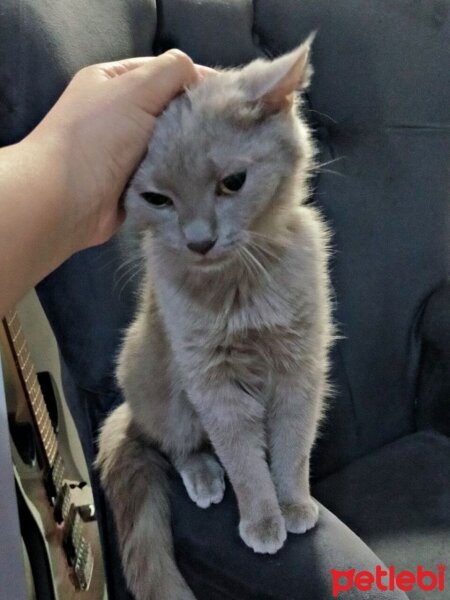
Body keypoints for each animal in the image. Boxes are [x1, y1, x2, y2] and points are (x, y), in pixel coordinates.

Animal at [96, 36, 334, 600]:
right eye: (157, 199)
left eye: (233, 182)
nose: (199, 240)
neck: (242, 288)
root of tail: (129, 410)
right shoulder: (212, 381)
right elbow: (244, 458)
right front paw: (263, 520)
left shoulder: (301, 365)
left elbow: (292, 445)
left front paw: (294, 504)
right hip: (160, 381)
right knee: (177, 444)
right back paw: (204, 475)